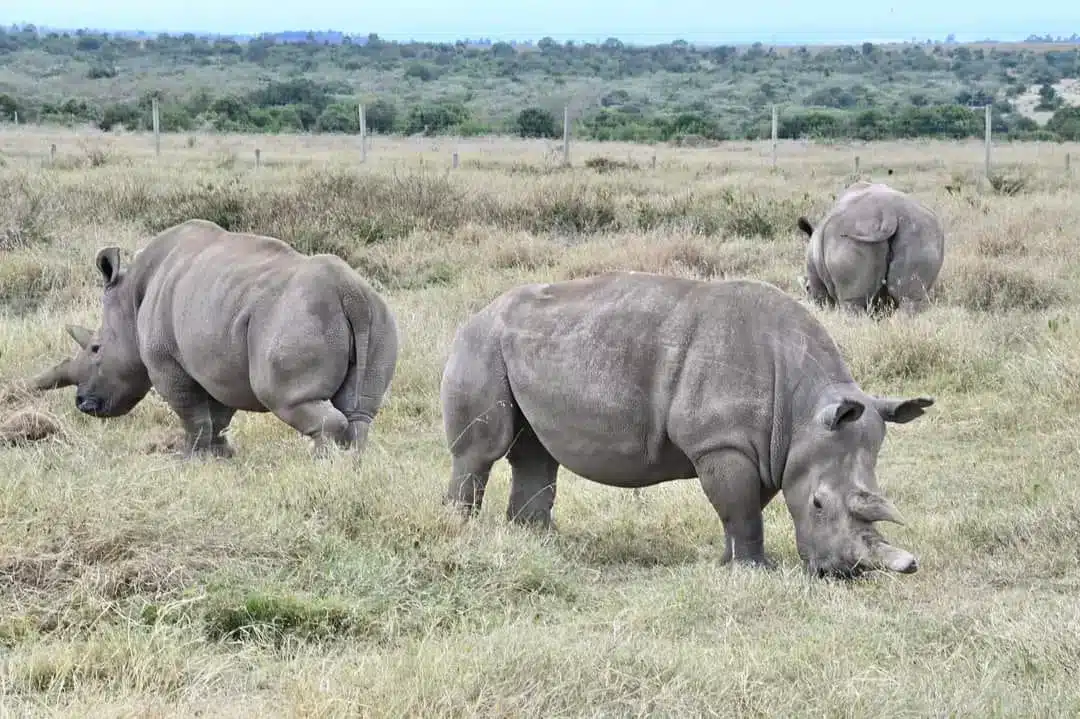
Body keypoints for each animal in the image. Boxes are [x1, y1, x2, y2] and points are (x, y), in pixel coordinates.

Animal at [33, 218, 399, 458]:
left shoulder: (166, 361)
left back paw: (321, 463)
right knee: (360, 412)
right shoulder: (218, 357)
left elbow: (191, 411)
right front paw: (222, 454)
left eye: (96, 349)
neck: (131, 298)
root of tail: (349, 292)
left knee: (285, 397)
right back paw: (352, 462)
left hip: (295, 317)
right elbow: (220, 411)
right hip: (378, 315)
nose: (82, 403)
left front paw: (188, 457)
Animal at [440, 271, 934, 579]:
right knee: (481, 451)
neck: (803, 408)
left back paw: (538, 541)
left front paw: (730, 563)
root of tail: (479, 311)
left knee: (537, 455)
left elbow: (746, 506)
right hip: (481, 342)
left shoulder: (763, 447)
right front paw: (754, 571)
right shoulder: (721, 442)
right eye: (817, 503)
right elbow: (741, 509)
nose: (842, 574)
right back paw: (462, 531)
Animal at [797, 181, 945, 316]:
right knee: (910, 299)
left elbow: (823, 297)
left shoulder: (814, 275)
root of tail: (888, 213)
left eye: (807, 288)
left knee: (852, 302)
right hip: (920, 229)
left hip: (847, 238)